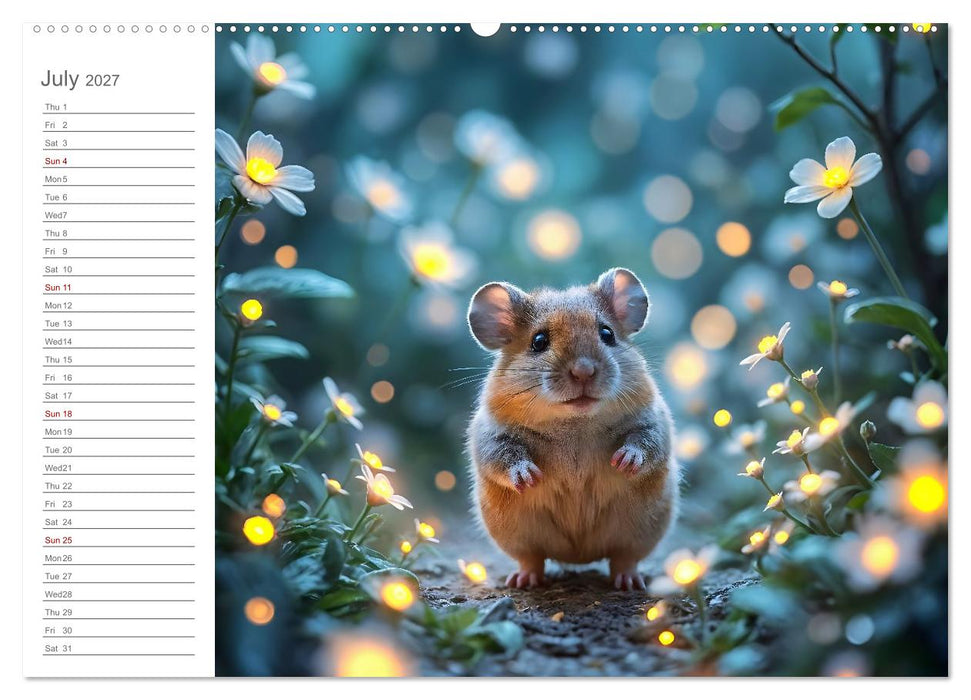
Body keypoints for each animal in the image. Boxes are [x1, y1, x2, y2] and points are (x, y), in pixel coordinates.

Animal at [465, 268, 679, 591]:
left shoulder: (653, 422)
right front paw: (528, 477)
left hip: (639, 531)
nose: (584, 372)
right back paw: (522, 580)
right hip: (519, 536)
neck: (575, 423)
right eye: (539, 341)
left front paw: (624, 462)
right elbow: (506, 457)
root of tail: (579, 557)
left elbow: (643, 443)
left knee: (623, 558)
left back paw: (629, 581)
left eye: (607, 334)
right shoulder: (492, 435)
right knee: (532, 558)